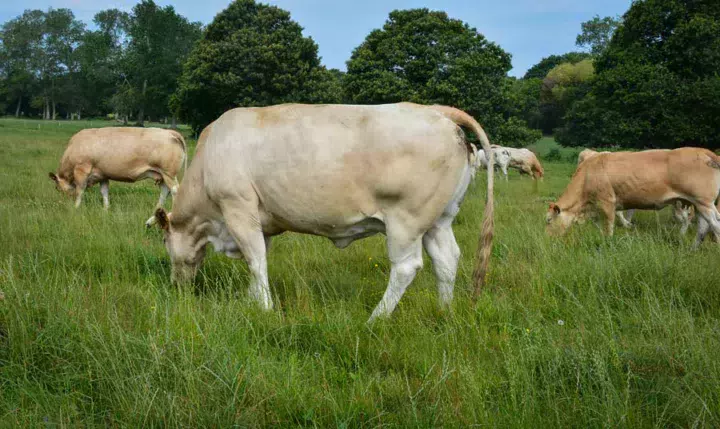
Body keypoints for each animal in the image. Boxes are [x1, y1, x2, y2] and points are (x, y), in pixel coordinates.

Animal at [49, 127, 187, 226]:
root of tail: (169, 132)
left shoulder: (81, 170)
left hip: (168, 173)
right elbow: (104, 192)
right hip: (162, 175)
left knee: (175, 191)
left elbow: (80, 191)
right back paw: (153, 217)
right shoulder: (103, 175)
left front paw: (75, 208)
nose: (64, 201)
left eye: (56, 187)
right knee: (164, 192)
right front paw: (106, 209)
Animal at [153, 103, 495, 322]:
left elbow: (255, 260)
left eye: (166, 244)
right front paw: (252, 298)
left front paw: (263, 307)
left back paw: (376, 319)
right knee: (446, 259)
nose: (176, 285)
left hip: (406, 221)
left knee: (406, 267)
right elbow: (259, 258)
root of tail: (436, 111)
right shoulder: (261, 222)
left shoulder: (238, 207)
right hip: (440, 220)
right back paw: (443, 310)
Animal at [546, 148, 720, 249]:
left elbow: (608, 227)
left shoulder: (607, 202)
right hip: (697, 204)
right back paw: (692, 249)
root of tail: (702, 151)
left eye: (548, 220)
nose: (548, 239)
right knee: (702, 228)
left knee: (715, 224)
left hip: (704, 202)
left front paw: (607, 244)